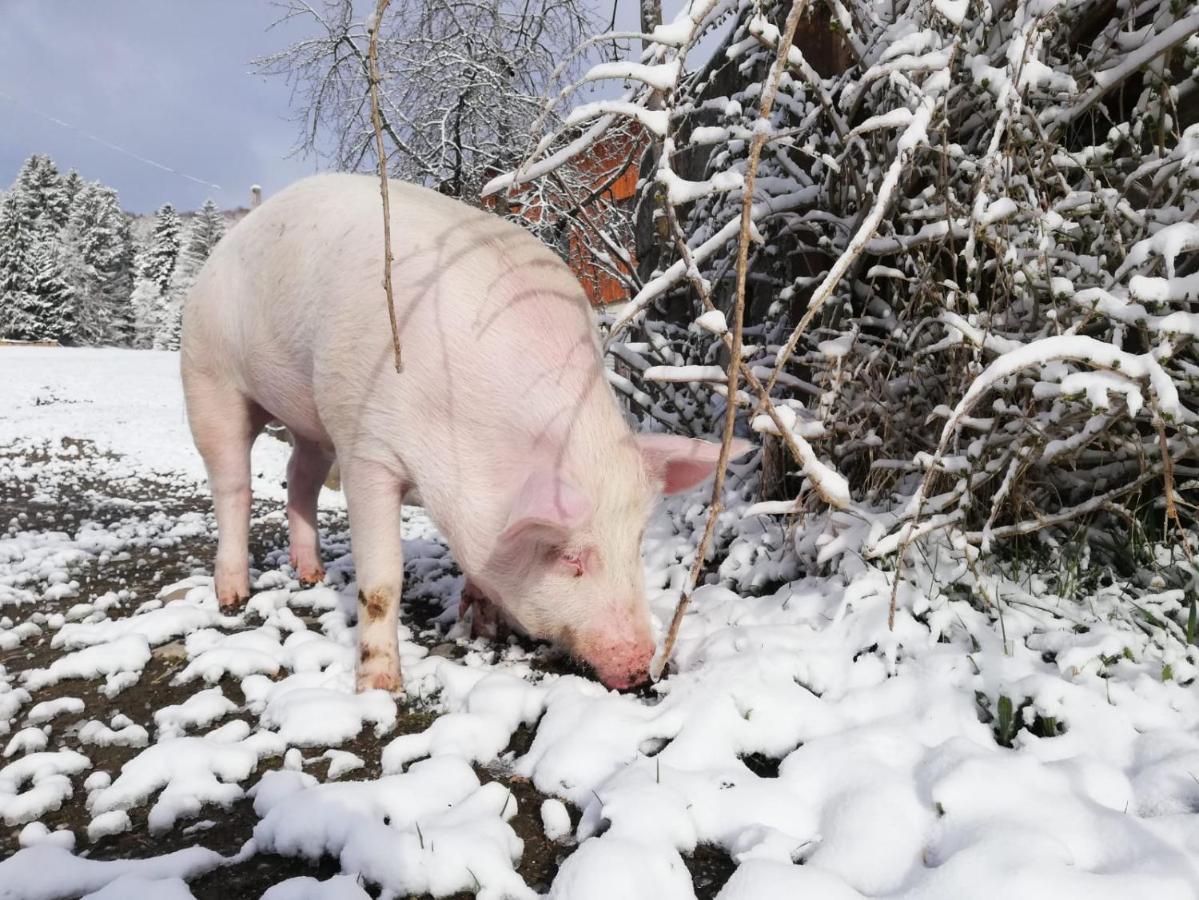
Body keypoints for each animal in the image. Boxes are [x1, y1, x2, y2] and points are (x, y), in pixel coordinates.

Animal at [182, 177, 748, 695]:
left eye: (635, 540)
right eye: (568, 555)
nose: (640, 671)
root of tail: (228, 242)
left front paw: (482, 623)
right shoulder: (366, 445)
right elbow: (381, 580)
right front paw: (380, 689)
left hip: (310, 419)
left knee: (300, 474)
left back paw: (311, 576)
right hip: (208, 375)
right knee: (232, 483)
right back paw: (232, 595)